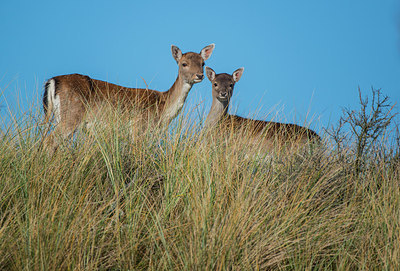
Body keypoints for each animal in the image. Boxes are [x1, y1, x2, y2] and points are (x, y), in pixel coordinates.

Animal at [42, 43, 214, 148]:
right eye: (184, 63)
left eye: (203, 63)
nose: (199, 75)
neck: (163, 110)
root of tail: (53, 81)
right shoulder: (138, 127)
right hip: (71, 115)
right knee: (49, 141)